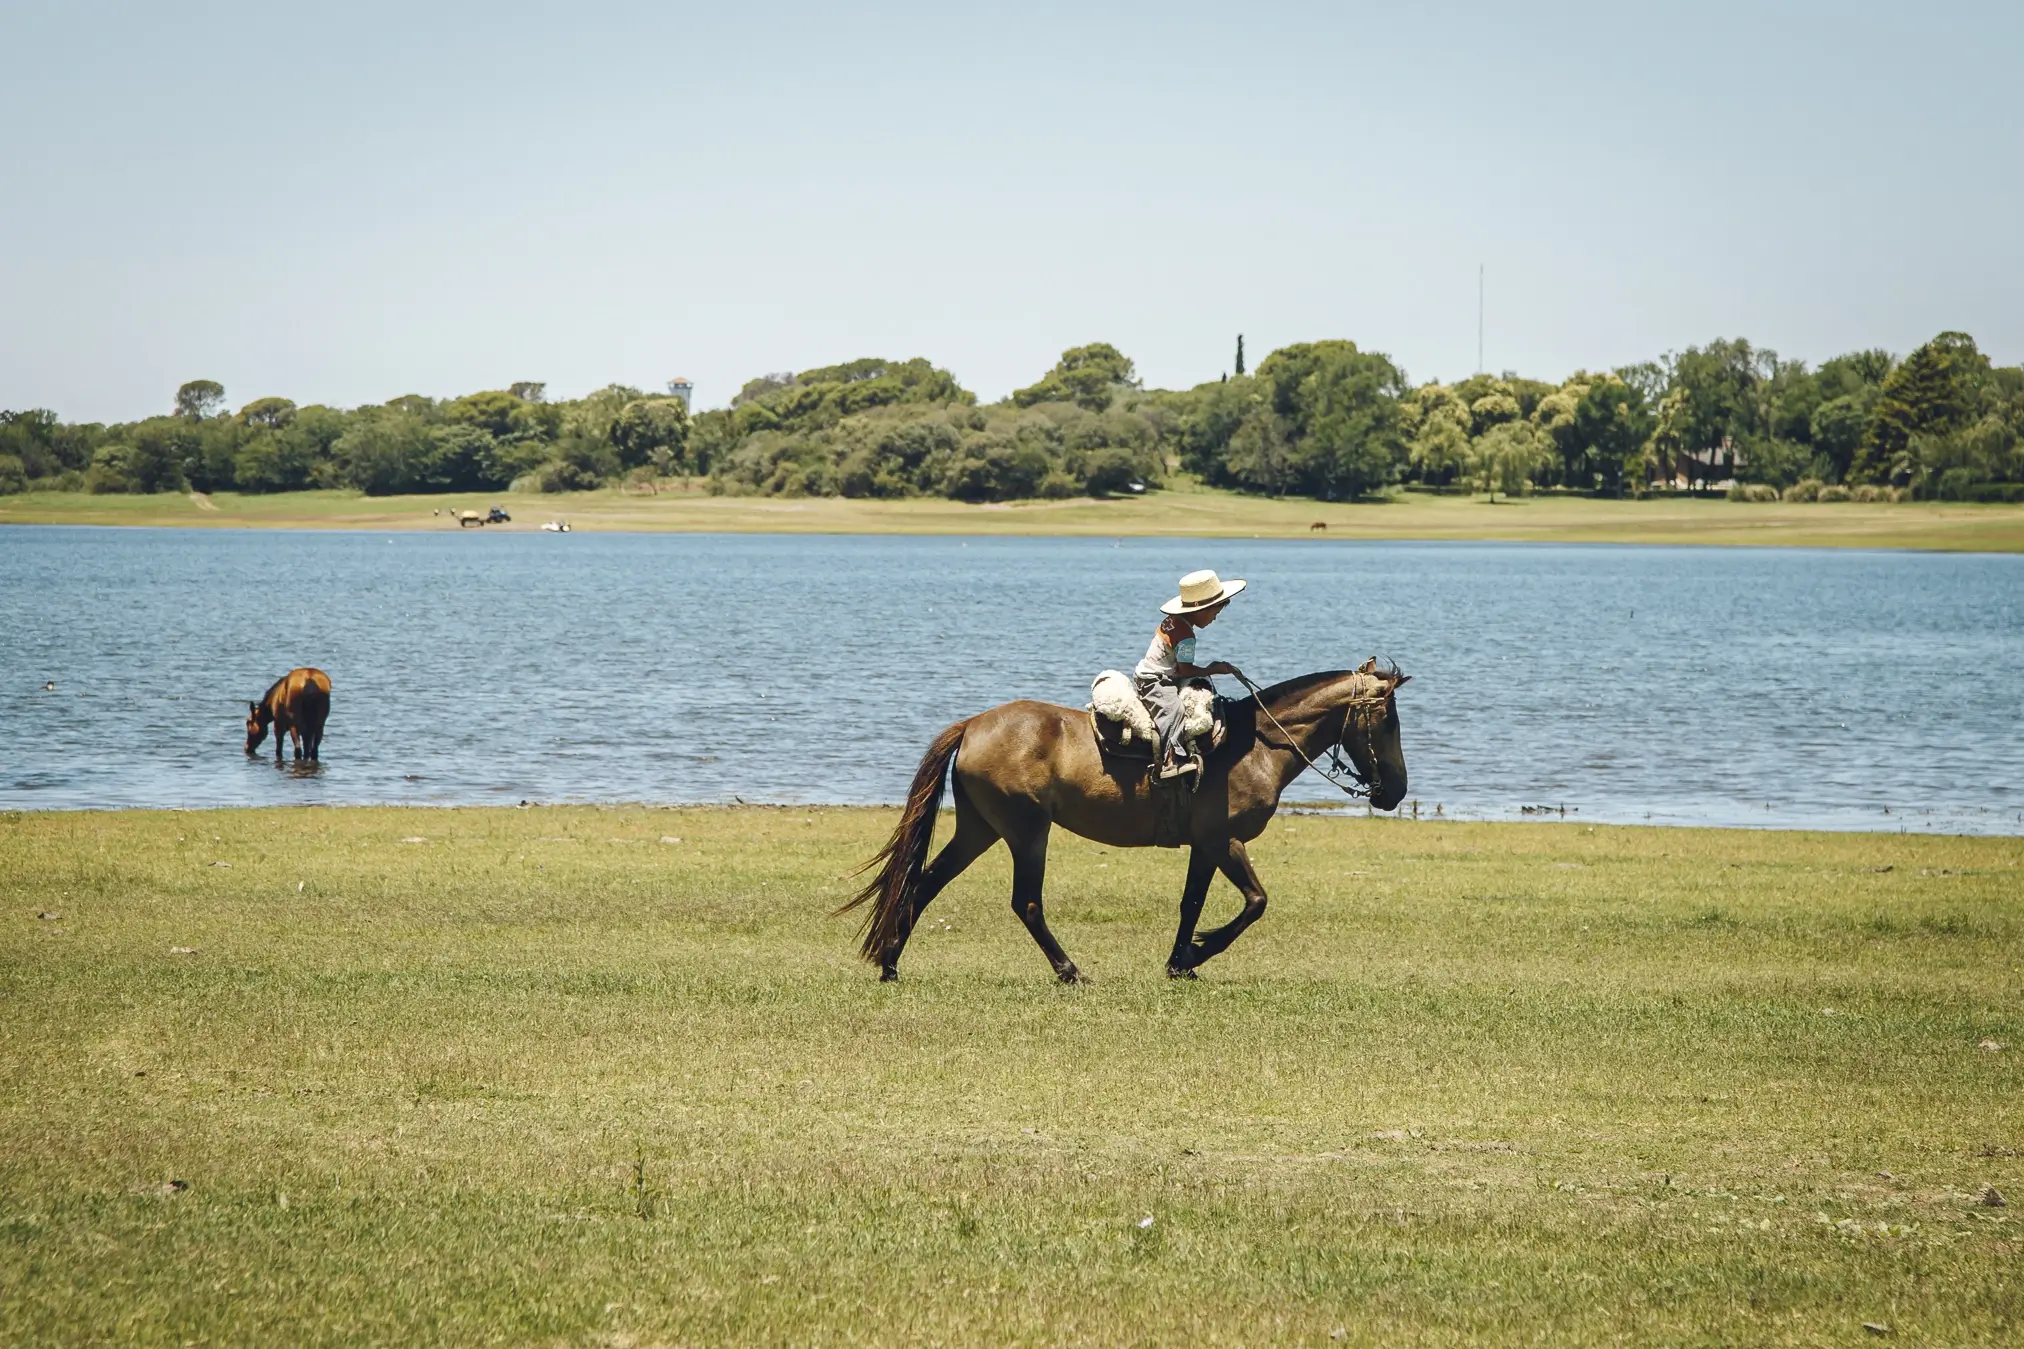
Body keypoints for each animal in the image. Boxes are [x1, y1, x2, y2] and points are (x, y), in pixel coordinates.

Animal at [841, 660, 1409, 983]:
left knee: (924, 884)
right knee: (1026, 902)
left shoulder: (1204, 847)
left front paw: (1180, 962)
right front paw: (1196, 955)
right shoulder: (1224, 841)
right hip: (1027, 832)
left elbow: (1192, 903)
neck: (1255, 746)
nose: (1396, 791)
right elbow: (1255, 902)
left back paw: (890, 963)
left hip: (979, 830)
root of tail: (973, 725)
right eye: (1387, 720)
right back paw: (1070, 972)